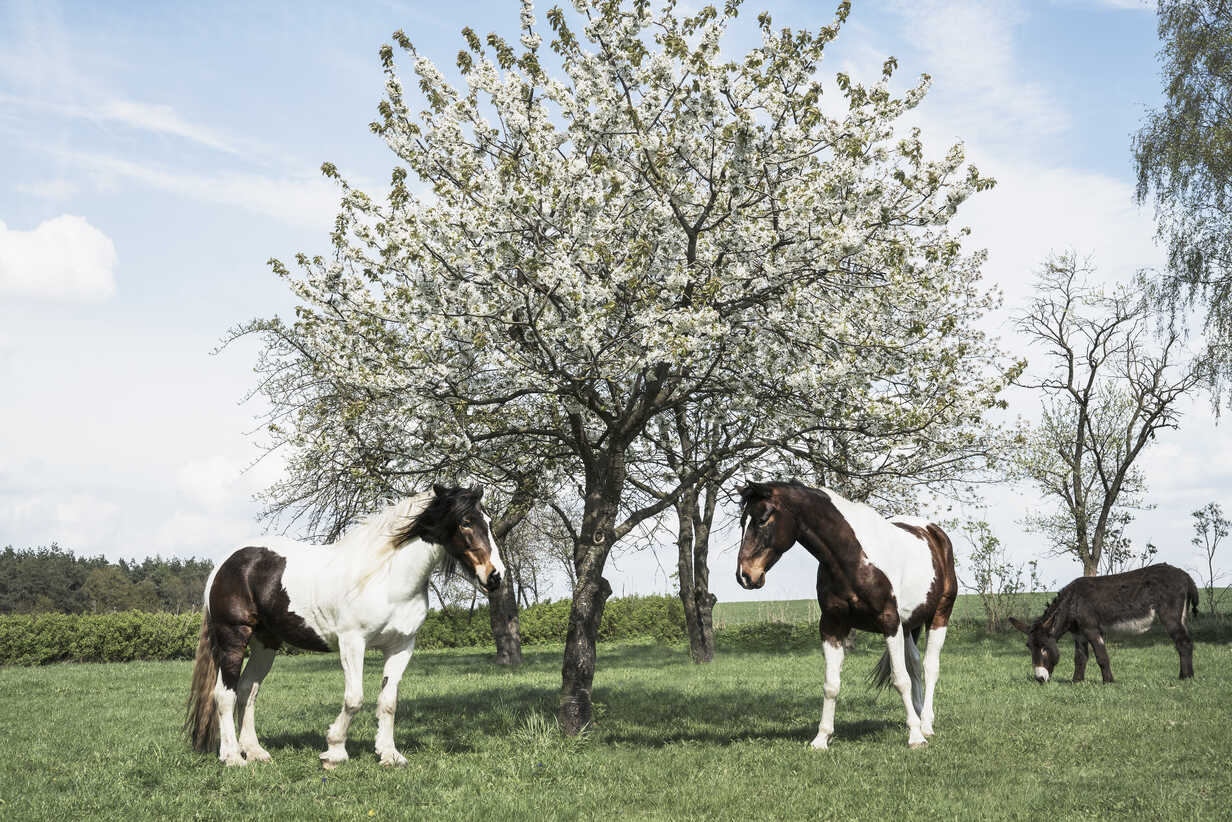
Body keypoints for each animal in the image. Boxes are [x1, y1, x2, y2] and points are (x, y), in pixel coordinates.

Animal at [184, 485, 502, 769]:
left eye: (488, 521)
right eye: (465, 522)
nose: (495, 576)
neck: (387, 577)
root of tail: (226, 563)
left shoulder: (401, 646)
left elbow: (388, 701)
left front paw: (389, 755)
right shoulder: (352, 643)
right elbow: (354, 699)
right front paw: (334, 751)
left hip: (266, 643)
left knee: (247, 690)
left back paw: (255, 752)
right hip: (233, 637)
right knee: (224, 694)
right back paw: (232, 757)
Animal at [734, 483, 956, 754]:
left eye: (763, 519)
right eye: (742, 521)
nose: (745, 575)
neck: (853, 557)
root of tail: (934, 533)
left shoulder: (889, 622)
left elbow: (900, 679)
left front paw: (915, 737)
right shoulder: (832, 625)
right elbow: (831, 684)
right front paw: (821, 739)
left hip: (939, 615)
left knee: (929, 667)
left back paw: (925, 725)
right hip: (908, 625)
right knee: (914, 665)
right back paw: (919, 714)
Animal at [1005, 561, 1197, 685]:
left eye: (1045, 648)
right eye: (1029, 647)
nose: (1039, 679)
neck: (1073, 602)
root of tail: (1186, 576)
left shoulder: (1092, 630)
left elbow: (1102, 656)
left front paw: (1108, 682)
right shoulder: (1079, 634)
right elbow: (1080, 658)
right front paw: (1076, 682)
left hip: (1170, 617)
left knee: (1184, 643)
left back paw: (1186, 678)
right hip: (1181, 617)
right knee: (1182, 645)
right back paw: (1184, 675)